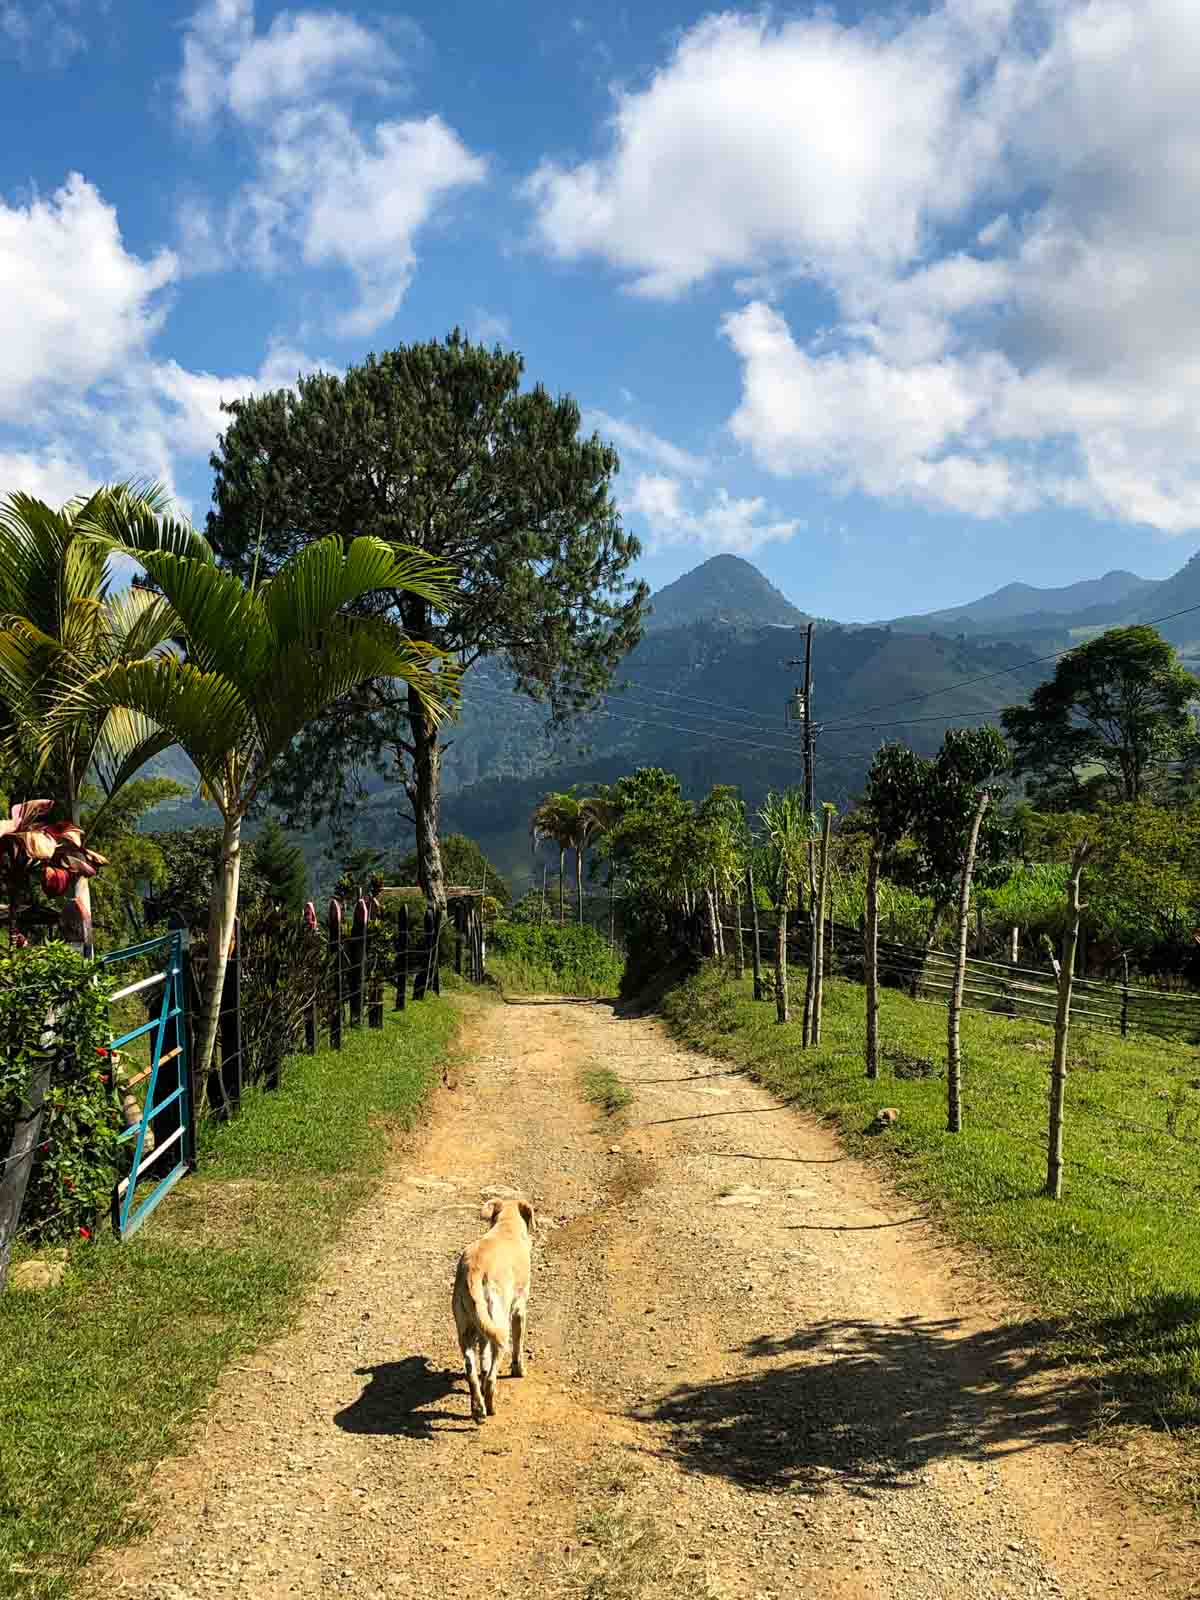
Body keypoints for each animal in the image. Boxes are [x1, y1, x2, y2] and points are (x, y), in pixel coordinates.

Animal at [454, 1203, 534, 1427]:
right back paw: (490, 1409)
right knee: (490, 1379)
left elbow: (484, 1357)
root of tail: (473, 1269)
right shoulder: (519, 1311)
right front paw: (519, 1370)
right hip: (501, 1323)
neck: (507, 1225)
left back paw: (478, 1410)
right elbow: (518, 1346)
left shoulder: (483, 1328)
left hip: (466, 1331)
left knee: (471, 1372)